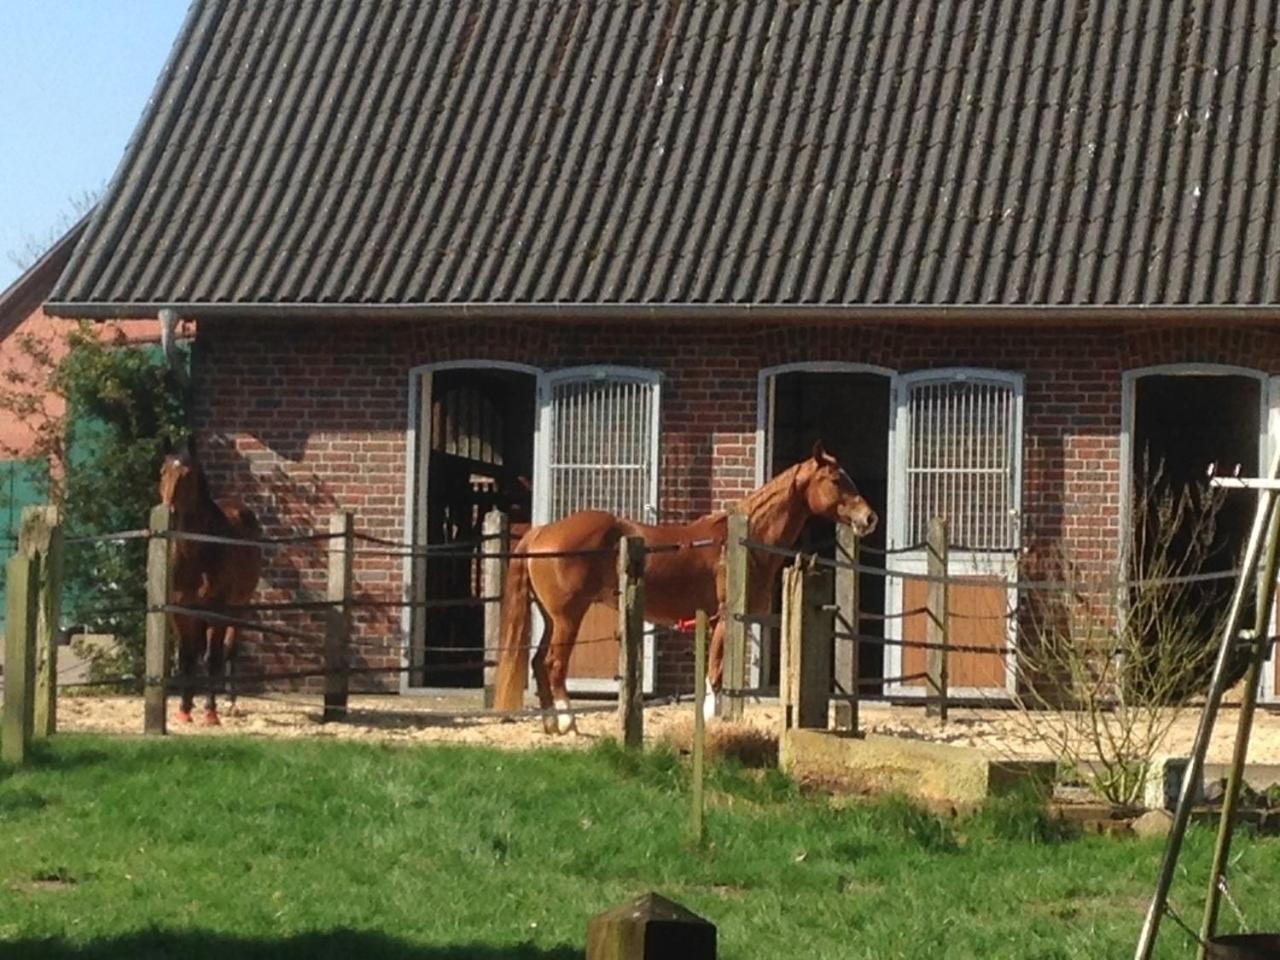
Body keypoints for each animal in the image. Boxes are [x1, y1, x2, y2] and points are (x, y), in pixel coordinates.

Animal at [157, 440, 262, 727]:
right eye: (162, 472)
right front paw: (184, 709)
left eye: (188, 474)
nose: (169, 511)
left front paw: (210, 712)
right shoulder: (180, 611)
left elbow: (212, 657)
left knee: (228, 649)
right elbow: (187, 656)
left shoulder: (217, 610)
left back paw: (230, 701)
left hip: (239, 607)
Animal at [494, 442, 875, 737]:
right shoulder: (723, 616)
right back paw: (568, 722)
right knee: (554, 665)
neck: (740, 541)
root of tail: (541, 533)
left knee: (538, 662)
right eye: (836, 479)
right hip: (568, 617)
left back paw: (551, 726)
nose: (869, 518)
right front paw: (708, 720)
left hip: (550, 617)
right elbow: (715, 670)